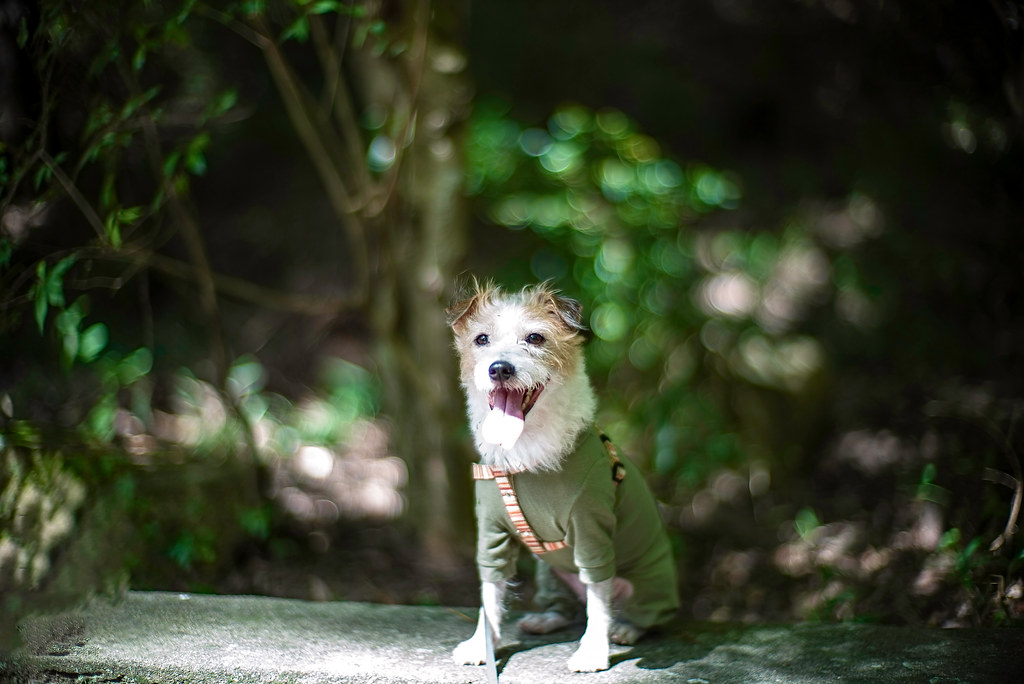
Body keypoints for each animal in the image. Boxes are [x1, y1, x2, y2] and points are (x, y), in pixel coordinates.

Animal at [448, 280, 679, 671]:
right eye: (481, 339)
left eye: (535, 337)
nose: (500, 368)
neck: (526, 455)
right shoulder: (492, 534)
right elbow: (490, 594)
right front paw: (483, 645)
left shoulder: (591, 531)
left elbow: (598, 599)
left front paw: (592, 651)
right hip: (549, 571)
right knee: (568, 608)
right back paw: (546, 619)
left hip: (647, 582)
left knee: (635, 611)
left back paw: (626, 628)